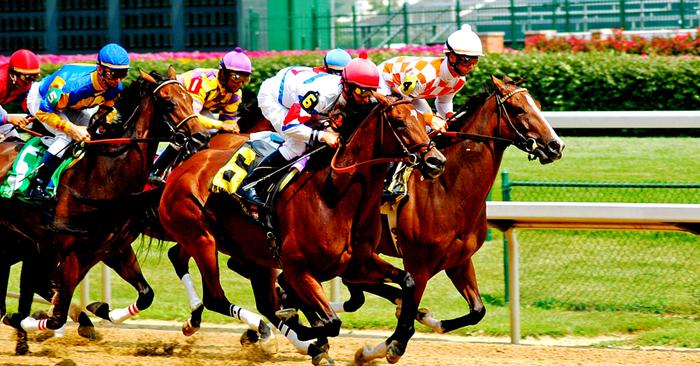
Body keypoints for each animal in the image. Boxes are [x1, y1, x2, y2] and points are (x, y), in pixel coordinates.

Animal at [0, 66, 208, 338]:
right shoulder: (72, 253)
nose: (202, 137)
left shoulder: (113, 249)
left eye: (190, 100)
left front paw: (100, 309)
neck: (104, 175)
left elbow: (146, 295)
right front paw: (23, 320)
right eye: (168, 102)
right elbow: (56, 315)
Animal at [160, 93, 442, 364]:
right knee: (216, 297)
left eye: (422, 119)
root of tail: (183, 167)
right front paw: (308, 330)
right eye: (399, 122)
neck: (336, 196)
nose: (436, 161)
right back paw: (269, 332)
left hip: (251, 253)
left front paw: (397, 341)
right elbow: (330, 322)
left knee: (261, 301)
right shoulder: (299, 269)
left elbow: (408, 281)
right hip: (201, 238)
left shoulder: (358, 263)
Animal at [330, 76, 568, 362]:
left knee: (354, 286)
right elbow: (403, 330)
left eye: (539, 105)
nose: (556, 146)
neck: (447, 189)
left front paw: (423, 321)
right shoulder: (418, 266)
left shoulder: (459, 261)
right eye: (518, 109)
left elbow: (476, 311)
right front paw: (377, 349)